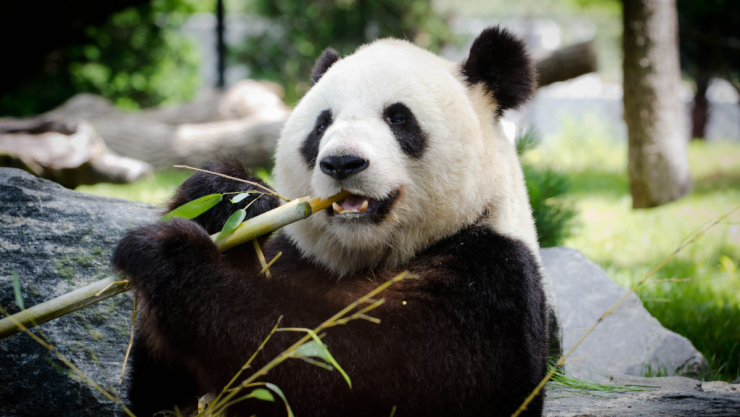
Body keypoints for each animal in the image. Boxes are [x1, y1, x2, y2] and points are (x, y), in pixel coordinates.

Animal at [112, 26, 561, 417]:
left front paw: (169, 254)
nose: (342, 162)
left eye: (399, 118)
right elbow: (161, 397)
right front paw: (224, 197)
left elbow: (352, 367)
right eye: (322, 124)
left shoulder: (489, 282)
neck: (362, 255)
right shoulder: (294, 256)